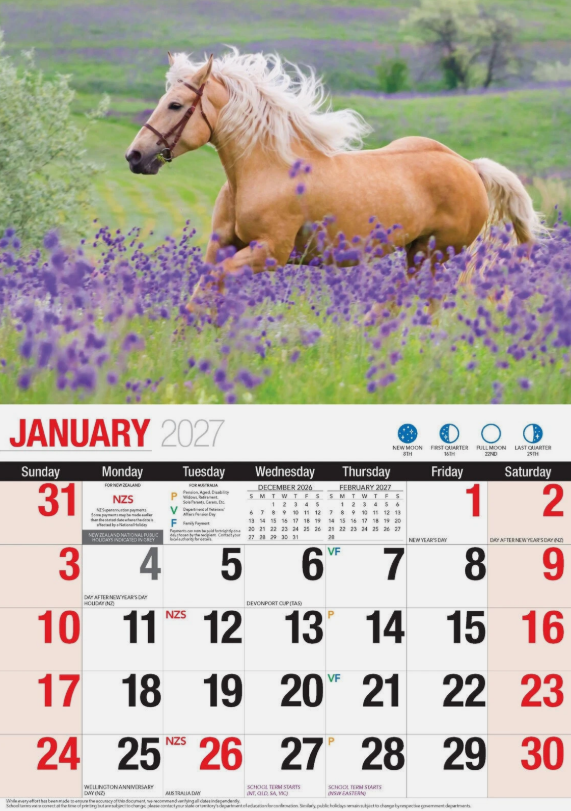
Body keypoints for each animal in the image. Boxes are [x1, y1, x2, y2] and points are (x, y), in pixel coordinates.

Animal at [126, 49, 545, 278]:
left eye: (175, 105)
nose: (135, 156)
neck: (264, 171)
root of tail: (469, 166)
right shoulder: (224, 246)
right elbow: (201, 292)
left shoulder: (270, 253)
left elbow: (217, 285)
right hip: (416, 251)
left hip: (435, 254)